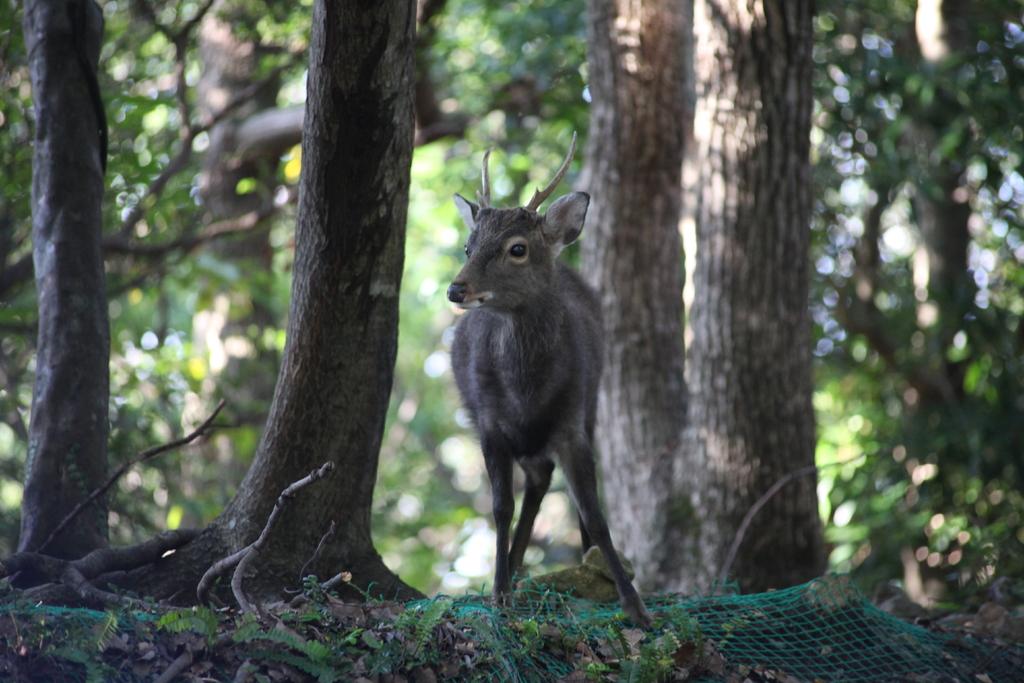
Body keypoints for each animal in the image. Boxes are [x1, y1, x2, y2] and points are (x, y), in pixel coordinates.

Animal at [446, 135, 647, 630]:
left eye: (517, 248)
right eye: (468, 246)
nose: (457, 289)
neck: (526, 391)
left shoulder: (573, 419)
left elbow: (595, 512)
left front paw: (634, 605)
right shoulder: (490, 422)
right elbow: (500, 507)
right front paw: (499, 592)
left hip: (592, 406)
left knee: (551, 486)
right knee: (536, 483)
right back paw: (514, 568)